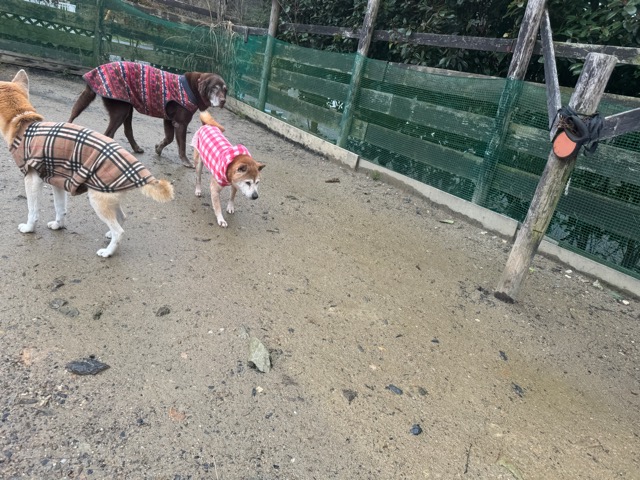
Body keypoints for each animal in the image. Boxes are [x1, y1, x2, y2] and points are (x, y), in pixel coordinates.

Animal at [0, 69, 175, 257]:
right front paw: (58, 225)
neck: (24, 124)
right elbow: (60, 208)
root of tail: (141, 173)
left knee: (119, 231)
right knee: (122, 218)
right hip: (109, 197)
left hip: (97, 199)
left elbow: (32, 210)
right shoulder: (57, 181)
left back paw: (108, 251)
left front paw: (29, 228)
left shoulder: (32, 180)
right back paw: (109, 235)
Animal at [68, 61, 227, 168]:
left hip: (127, 109)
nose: (223, 101)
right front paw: (186, 161)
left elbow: (169, 139)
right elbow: (181, 145)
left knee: (127, 131)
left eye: (225, 90)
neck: (192, 88)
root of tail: (98, 69)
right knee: (109, 133)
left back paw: (136, 148)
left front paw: (158, 148)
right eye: (215, 88)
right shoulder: (181, 123)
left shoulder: (169, 120)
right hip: (121, 111)